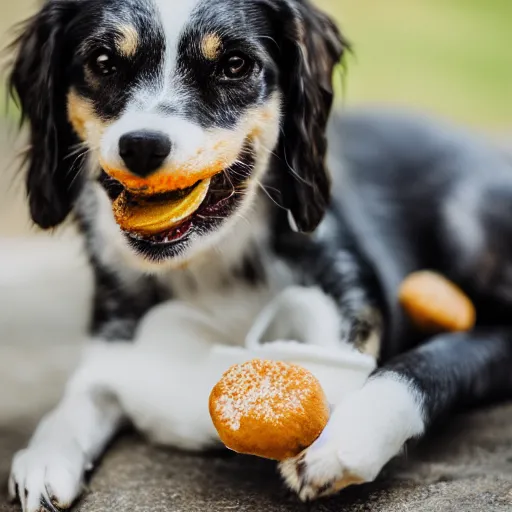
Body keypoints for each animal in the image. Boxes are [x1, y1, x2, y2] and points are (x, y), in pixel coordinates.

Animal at [6, 0, 512, 510]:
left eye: (235, 65)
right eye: (104, 62)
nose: (143, 146)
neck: (213, 268)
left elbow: (421, 365)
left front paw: (346, 439)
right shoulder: (115, 343)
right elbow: (81, 395)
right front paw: (44, 456)